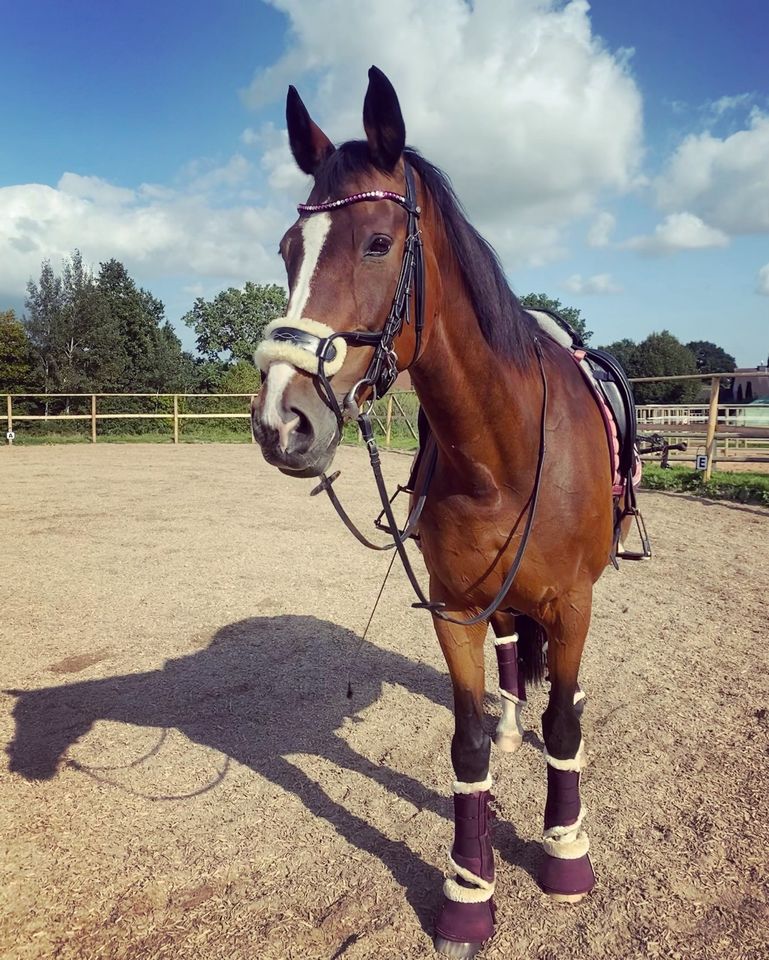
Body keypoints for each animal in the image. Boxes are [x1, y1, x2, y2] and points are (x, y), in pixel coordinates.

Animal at [252, 63, 636, 956]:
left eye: (377, 243)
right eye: (288, 251)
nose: (282, 421)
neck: (503, 451)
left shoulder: (573, 604)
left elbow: (564, 732)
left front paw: (565, 852)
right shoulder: (456, 607)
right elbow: (464, 746)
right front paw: (469, 890)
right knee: (510, 654)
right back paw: (509, 720)